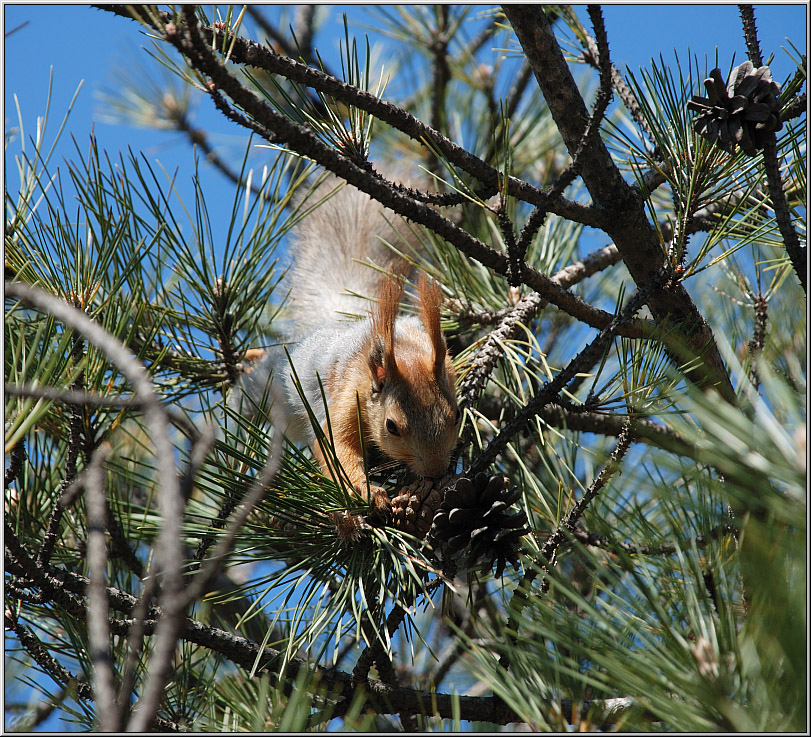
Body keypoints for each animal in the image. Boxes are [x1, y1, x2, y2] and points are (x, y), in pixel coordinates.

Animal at [238, 177, 460, 512]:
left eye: (457, 416)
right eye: (391, 426)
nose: (435, 472)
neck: (404, 352)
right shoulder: (347, 398)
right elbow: (335, 447)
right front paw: (368, 491)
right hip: (268, 384)